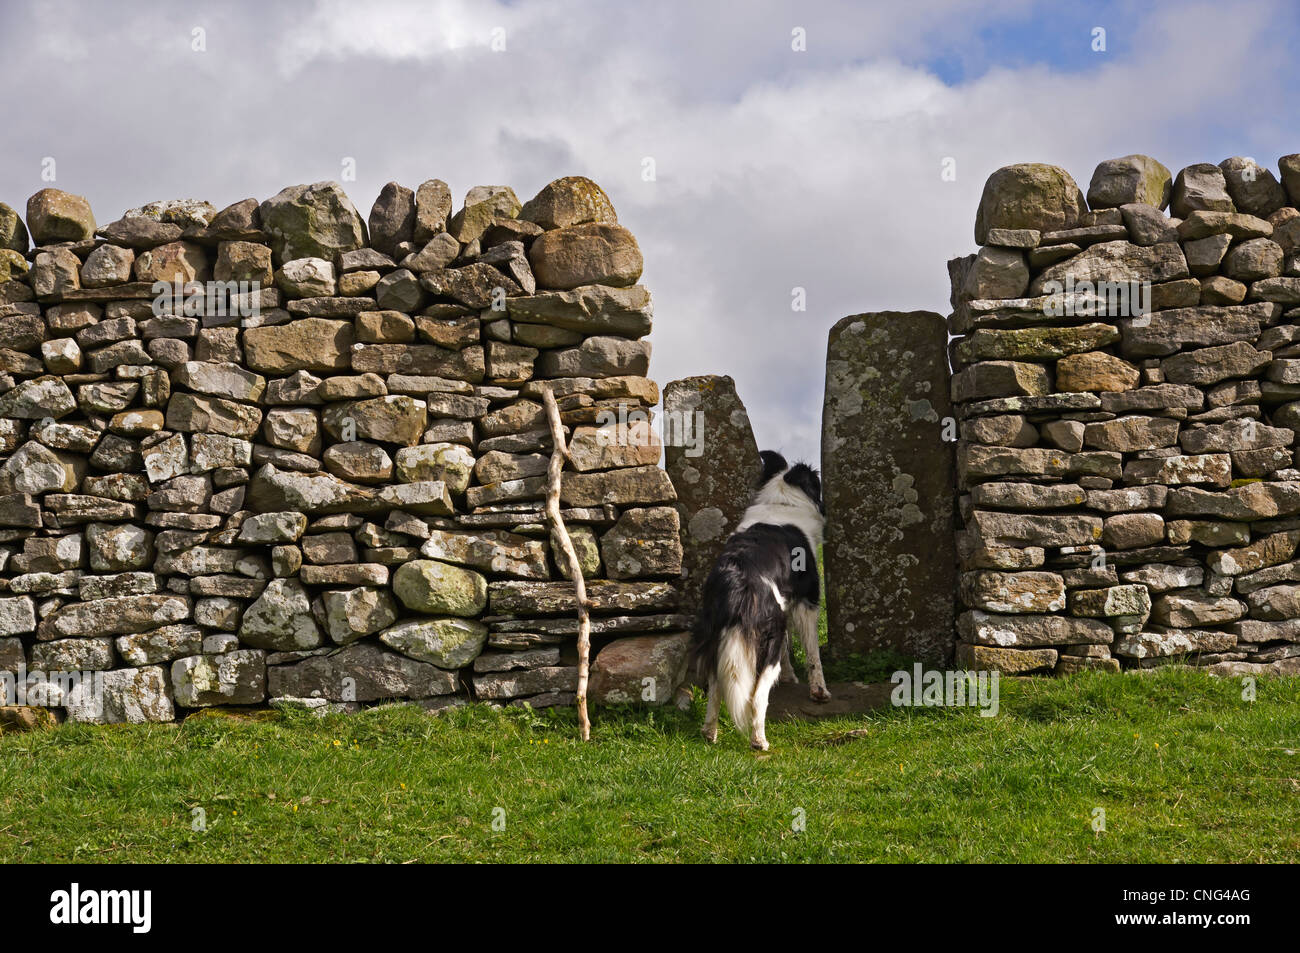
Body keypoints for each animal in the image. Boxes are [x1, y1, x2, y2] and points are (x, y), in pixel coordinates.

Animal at [691, 449, 832, 748]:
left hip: (718, 637)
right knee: (757, 697)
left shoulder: (786, 605)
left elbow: (790, 648)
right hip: (766, 644)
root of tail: (736, 583)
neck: (782, 500)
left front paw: (790, 676)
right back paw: (759, 741)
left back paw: (710, 733)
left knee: (716, 687)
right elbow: (813, 654)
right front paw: (819, 691)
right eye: (817, 483)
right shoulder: (807, 601)